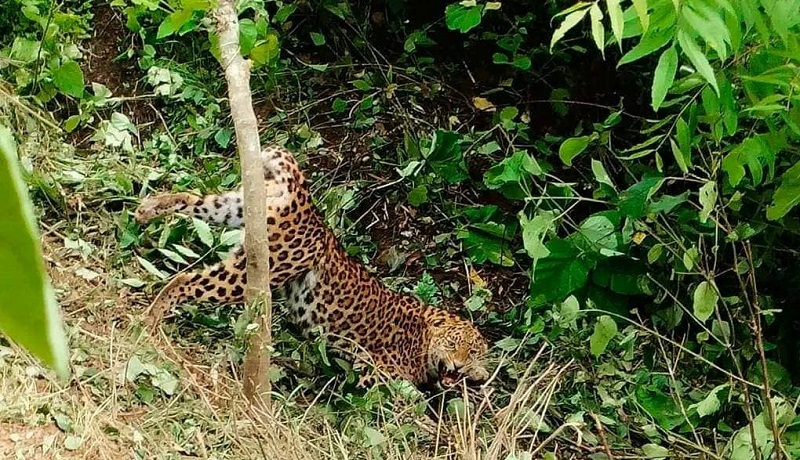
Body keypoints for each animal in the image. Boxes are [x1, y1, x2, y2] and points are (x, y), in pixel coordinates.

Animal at [134, 145, 490, 388]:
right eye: (455, 346)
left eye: (473, 353)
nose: (459, 368)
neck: (424, 335)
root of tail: (306, 202)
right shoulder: (373, 372)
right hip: (254, 270)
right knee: (185, 279)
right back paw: (150, 319)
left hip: (236, 207)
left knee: (194, 198)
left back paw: (148, 208)